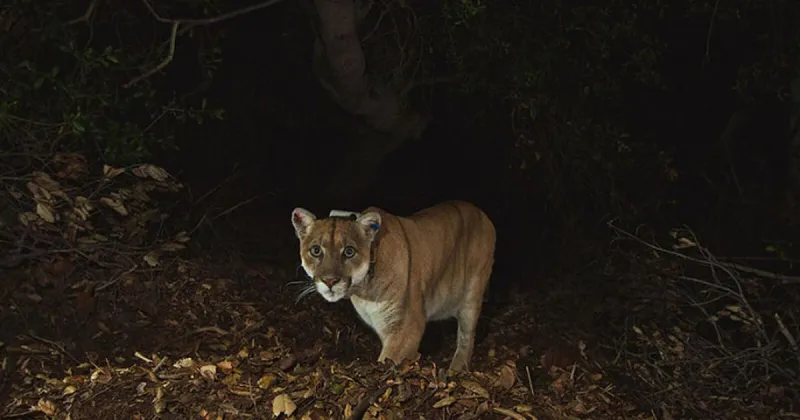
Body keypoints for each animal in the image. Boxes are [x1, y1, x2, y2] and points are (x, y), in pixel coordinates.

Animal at [290, 200, 496, 372]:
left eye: (349, 252)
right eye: (316, 250)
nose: (330, 281)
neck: (363, 290)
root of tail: (481, 212)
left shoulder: (407, 327)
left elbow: (388, 359)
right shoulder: (384, 326)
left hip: (472, 295)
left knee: (466, 336)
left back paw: (456, 369)